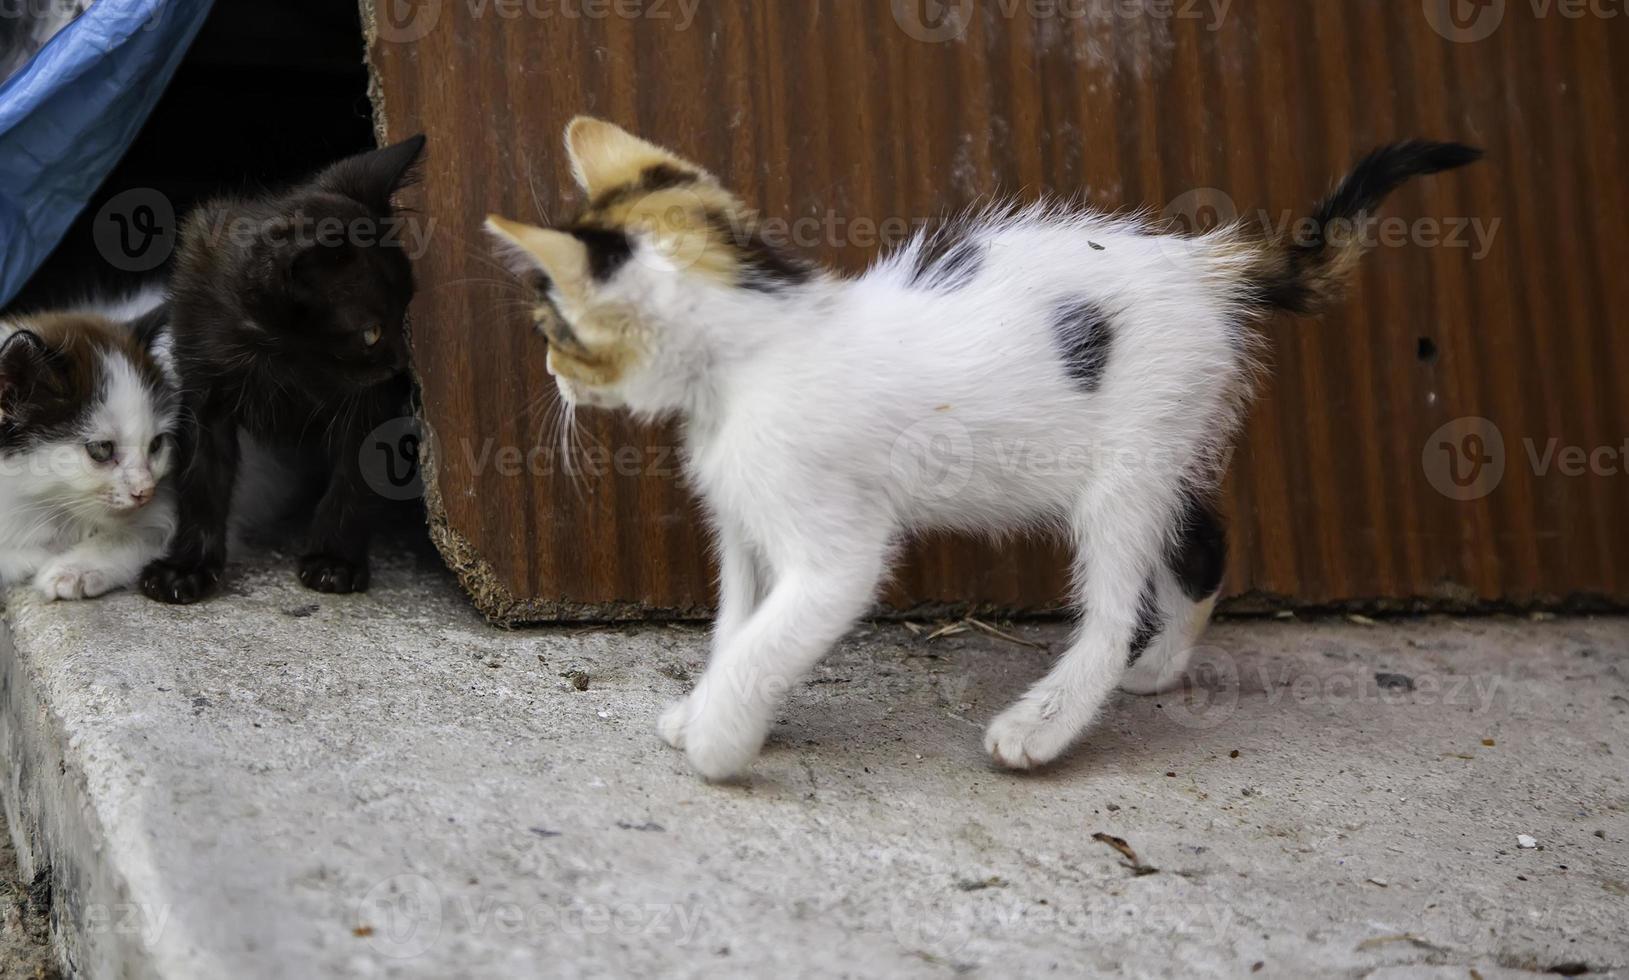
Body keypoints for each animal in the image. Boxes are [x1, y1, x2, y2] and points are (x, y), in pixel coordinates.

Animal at [140, 133, 430, 599]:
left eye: (405, 315)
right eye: (370, 333)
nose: (403, 372)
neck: (276, 351)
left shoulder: (370, 404)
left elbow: (354, 478)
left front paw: (334, 560)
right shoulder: (203, 391)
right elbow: (202, 480)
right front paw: (187, 567)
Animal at [485, 118, 1492, 778]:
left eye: (554, 328)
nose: (547, 373)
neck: (754, 349)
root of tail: (1202, 264)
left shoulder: (836, 547)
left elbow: (775, 636)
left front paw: (720, 742)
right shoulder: (746, 530)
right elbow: (738, 625)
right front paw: (709, 706)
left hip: (1126, 465)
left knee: (1112, 608)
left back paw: (1044, 725)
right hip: (1160, 446)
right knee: (1201, 540)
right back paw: (1161, 668)